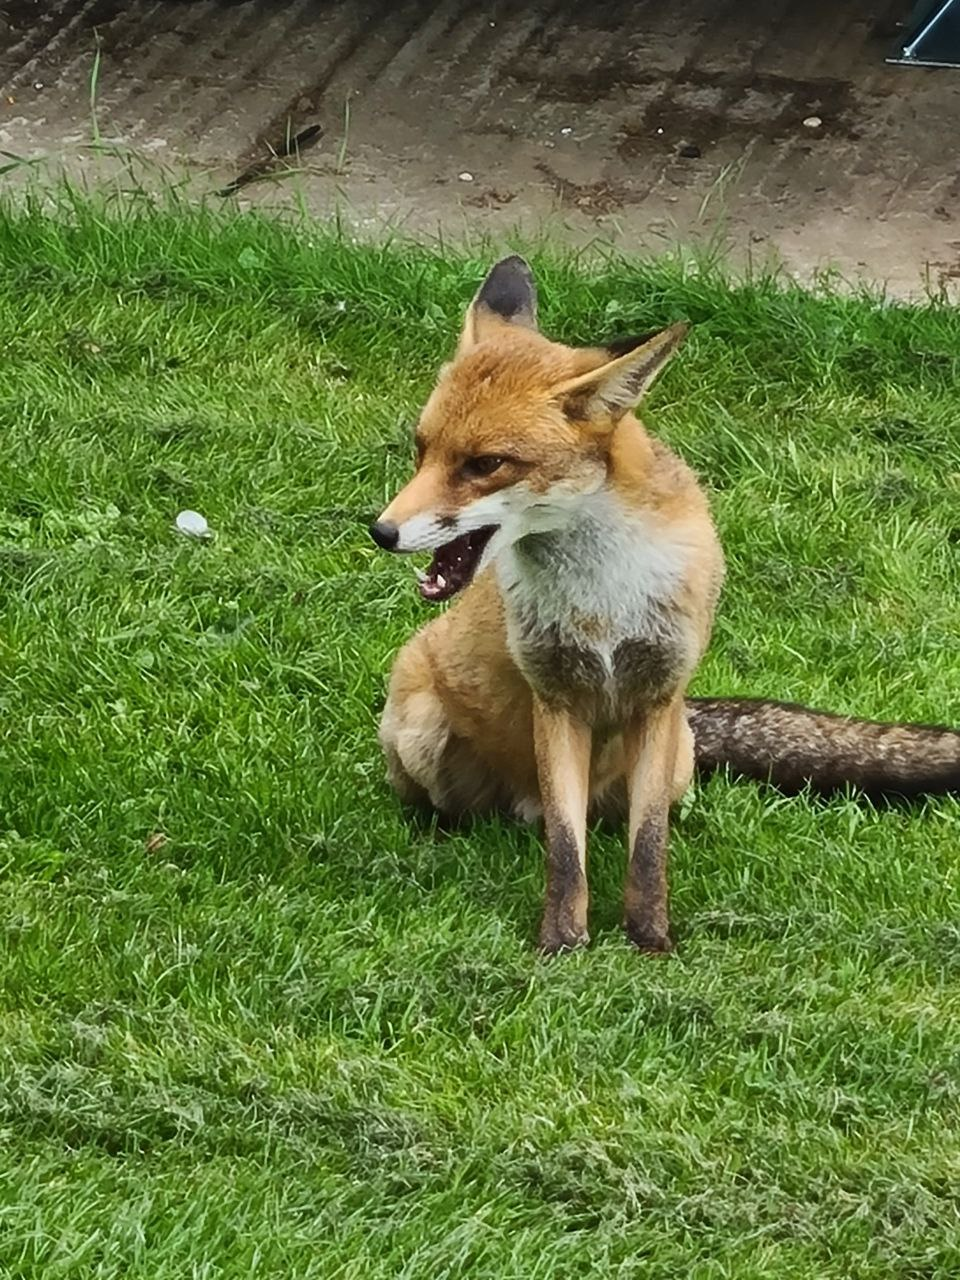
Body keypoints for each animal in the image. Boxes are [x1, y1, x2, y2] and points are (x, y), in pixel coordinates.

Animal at [371, 257, 960, 952]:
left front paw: (650, 941)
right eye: (422, 449)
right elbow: (564, 851)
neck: (601, 601)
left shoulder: (658, 694)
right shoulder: (556, 698)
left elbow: (647, 845)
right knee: (491, 813)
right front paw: (561, 944)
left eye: (486, 464)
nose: (380, 532)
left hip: (673, 756)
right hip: (421, 729)